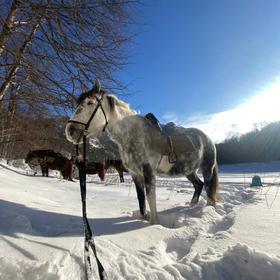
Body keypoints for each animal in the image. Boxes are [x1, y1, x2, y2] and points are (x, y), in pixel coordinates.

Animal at [65, 80, 219, 223]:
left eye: (90, 102)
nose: (70, 131)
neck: (133, 134)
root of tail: (208, 138)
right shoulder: (135, 174)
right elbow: (141, 200)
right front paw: (143, 218)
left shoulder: (148, 172)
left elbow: (150, 199)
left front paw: (153, 223)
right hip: (189, 171)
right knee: (198, 185)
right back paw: (191, 206)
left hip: (207, 169)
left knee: (208, 189)